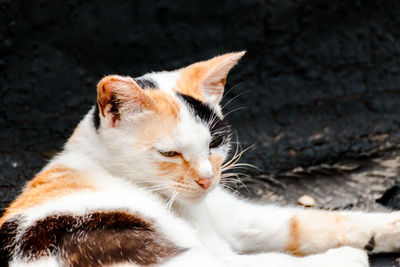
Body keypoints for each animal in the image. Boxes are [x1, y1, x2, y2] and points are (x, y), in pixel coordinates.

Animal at [0, 52, 400, 267]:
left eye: (215, 142)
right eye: (169, 153)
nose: (207, 179)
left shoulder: (239, 218)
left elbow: (311, 223)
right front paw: (348, 254)